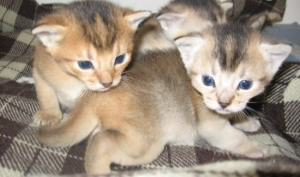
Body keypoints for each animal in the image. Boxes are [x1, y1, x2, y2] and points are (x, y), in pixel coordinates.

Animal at [35, 20, 290, 174]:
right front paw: (258, 147)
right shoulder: (211, 125)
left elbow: (237, 113)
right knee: (100, 143)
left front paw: (247, 120)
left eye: (245, 84)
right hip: (147, 143)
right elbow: (233, 138)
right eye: (208, 80)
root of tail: (92, 95)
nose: (223, 102)